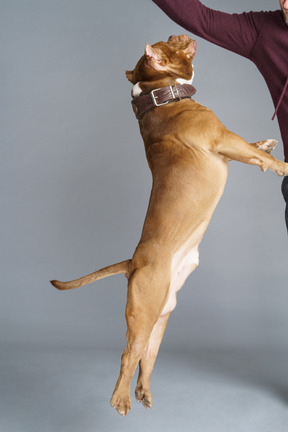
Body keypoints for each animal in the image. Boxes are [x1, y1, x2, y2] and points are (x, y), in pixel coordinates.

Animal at [51, 36, 288, 416]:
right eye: (168, 43)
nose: (180, 35)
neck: (158, 94)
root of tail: (133, 262)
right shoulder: (224, 139)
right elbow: (255, 155)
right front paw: (280, 165)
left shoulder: (228, 141)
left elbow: (254, 149)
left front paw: (265, 144)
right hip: (143, 310)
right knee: (128, 354)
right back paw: (120, 400)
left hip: (160, 317)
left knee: (146, 356)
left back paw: (143, 392)